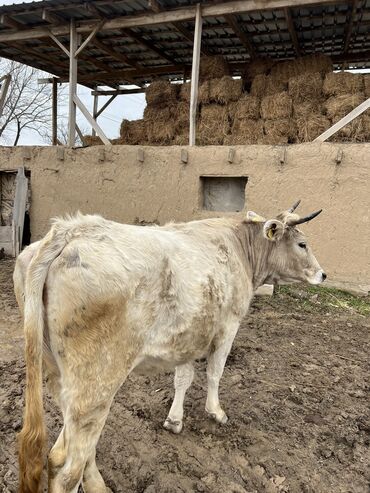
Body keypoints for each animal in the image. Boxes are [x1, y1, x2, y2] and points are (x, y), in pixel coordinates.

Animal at [15, 201, 326, 492]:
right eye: (302, 244)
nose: (323, 274)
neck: (239, 247)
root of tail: (71, 229)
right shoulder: (228, 325)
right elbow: (215, 372)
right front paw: (216, 412)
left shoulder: (187, 334)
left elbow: (183, 377)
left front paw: (174, 420)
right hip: (96, 382)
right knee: (67, 466)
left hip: (58, 376)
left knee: (71, 450)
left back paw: (99, 486)